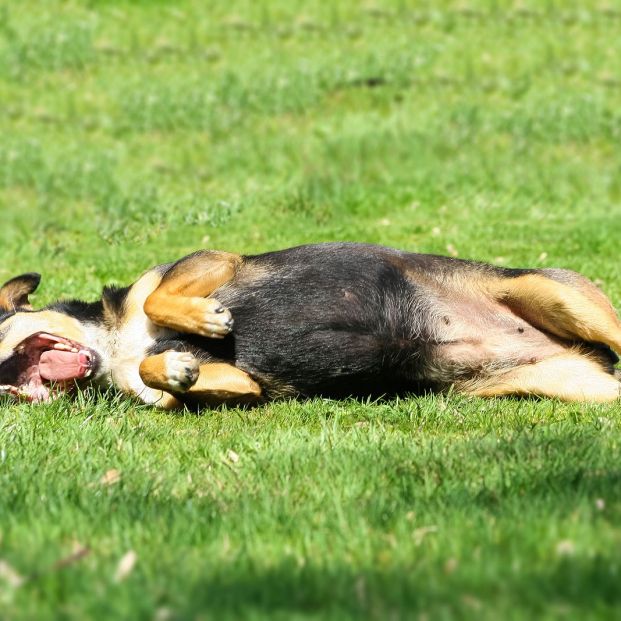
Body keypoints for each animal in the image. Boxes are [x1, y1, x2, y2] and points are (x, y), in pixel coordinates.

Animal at [1, 242, 620, 406]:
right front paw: (174, 366)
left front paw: (206, 319)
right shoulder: (236, 387)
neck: (117, 345)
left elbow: (158, 300)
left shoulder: (214, 260)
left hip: (554, 294)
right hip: (579, 384)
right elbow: (171, 380)